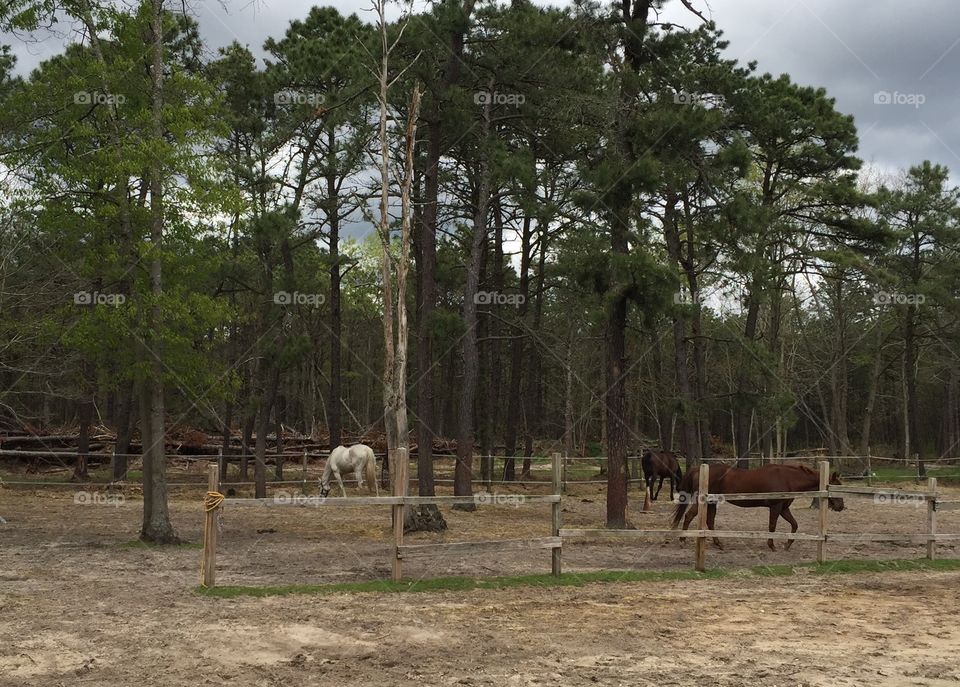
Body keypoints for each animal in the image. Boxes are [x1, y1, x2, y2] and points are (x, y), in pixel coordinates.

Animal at [671, 463, 844, 550]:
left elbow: (795, 525)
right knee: (689, 516)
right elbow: (772, 526)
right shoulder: (776, 507)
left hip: (712, 502)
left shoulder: (783, 509)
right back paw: (682, 540)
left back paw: (718, 543)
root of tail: (697, 469)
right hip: (704, 501)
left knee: (710, 521)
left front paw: (787, 544)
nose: (841, 506)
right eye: (836, 486)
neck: (788, 478)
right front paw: (772, 545)